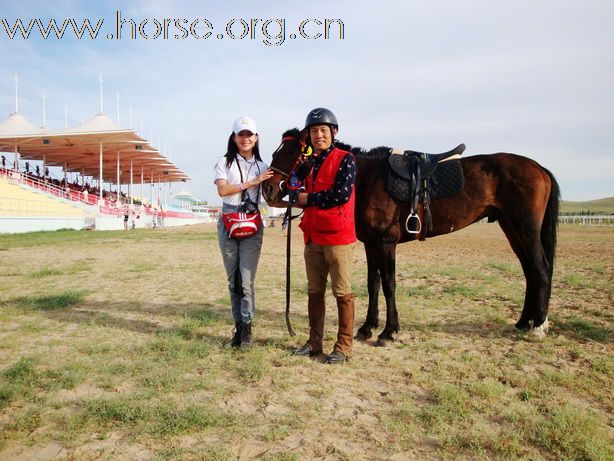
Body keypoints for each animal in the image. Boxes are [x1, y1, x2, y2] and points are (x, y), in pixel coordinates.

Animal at [262, 127, 560, 344]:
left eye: (292, 151)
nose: (268, 190)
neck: (363, 178)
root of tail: (539, 168)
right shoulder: (372, 244)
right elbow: (373, 284)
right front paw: (367, 327)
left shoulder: (386, 243)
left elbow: (389, 285)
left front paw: (388, 332)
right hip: (511, 229)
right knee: (530, 272)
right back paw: (523, 322)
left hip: (525, 229)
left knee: (540, 269)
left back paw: (538, 326)